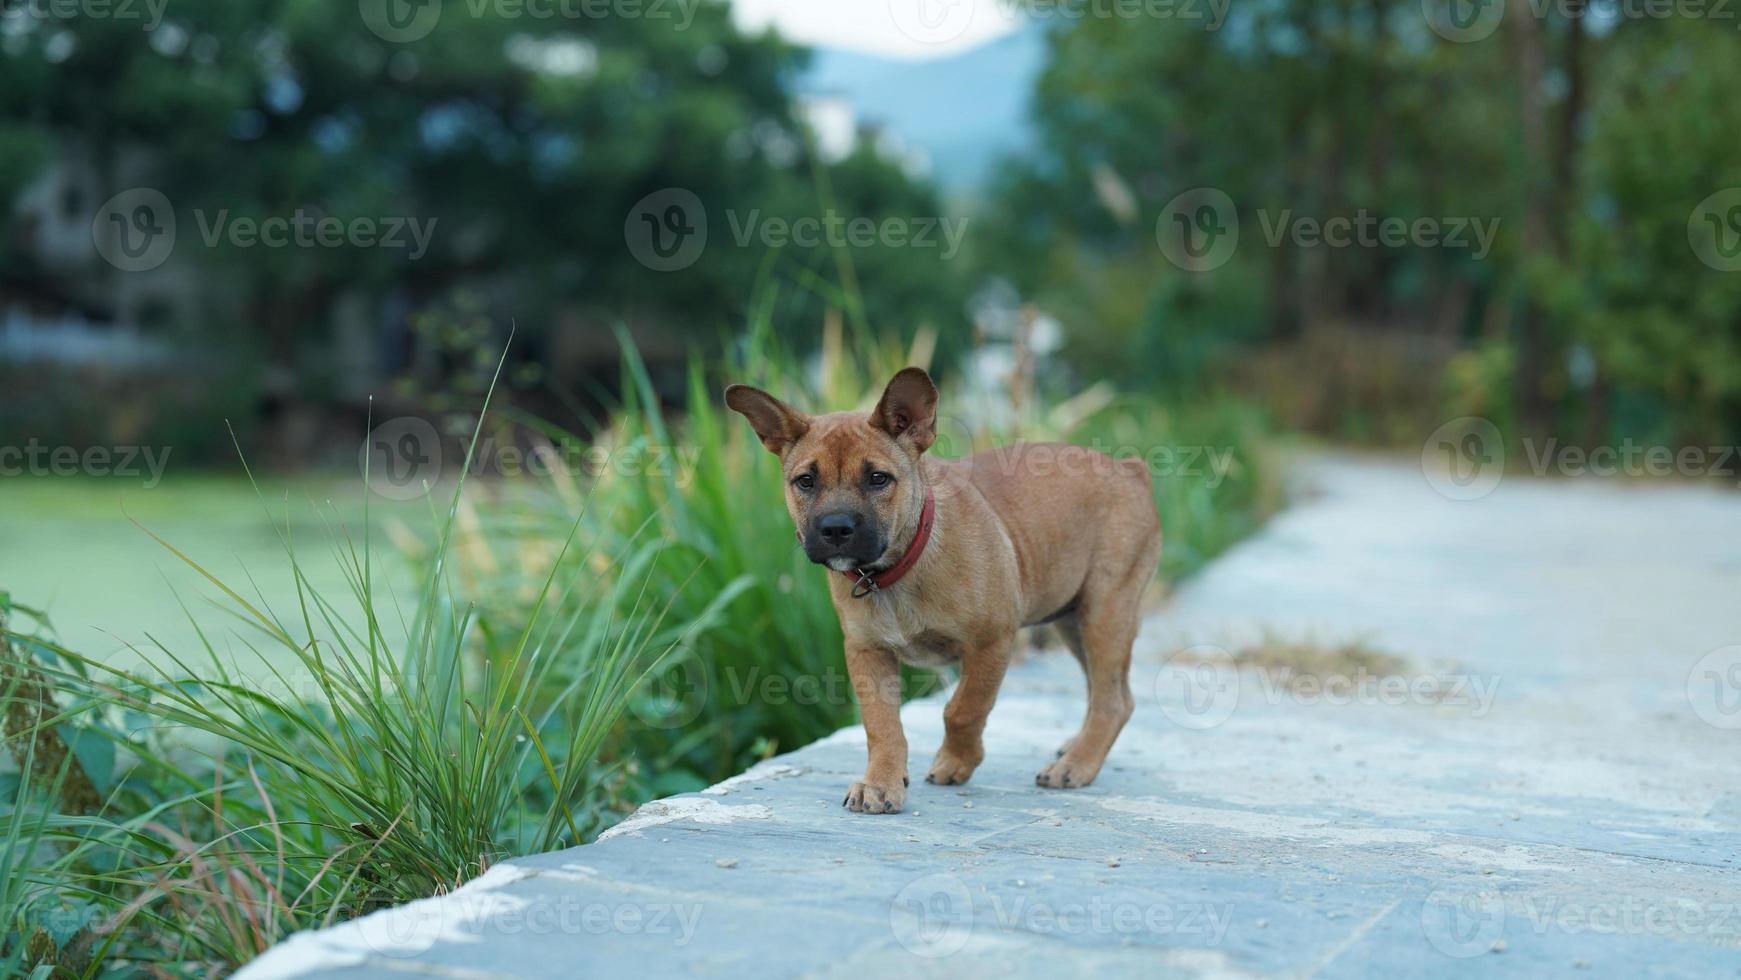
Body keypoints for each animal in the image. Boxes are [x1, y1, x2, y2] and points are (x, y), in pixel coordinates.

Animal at [727, 369, 1162, 814]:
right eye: (806, 481)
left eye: (878, 479)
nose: (835, 528)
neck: (895, 569)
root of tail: (1128, 468)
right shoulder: (868, 650)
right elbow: (881, 724)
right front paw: (881, 782)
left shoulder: (990, 643)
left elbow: (963, 709)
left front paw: (957, 761)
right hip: (1072, 619)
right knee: (1106, 690)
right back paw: (1076, 748)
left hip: (1104, 612)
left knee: (1113, 699)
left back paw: (1077, 764)